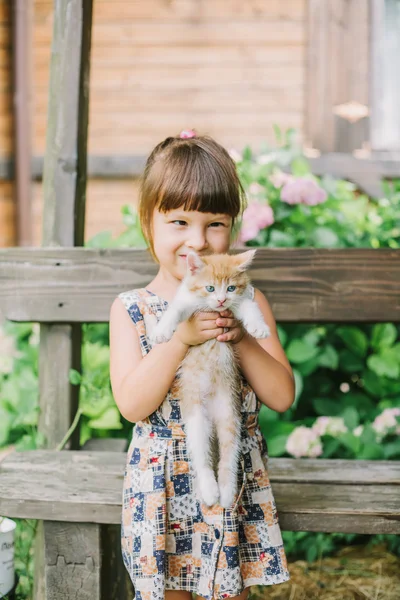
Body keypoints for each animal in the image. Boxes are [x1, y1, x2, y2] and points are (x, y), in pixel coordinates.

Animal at [152, 251, 270, 508]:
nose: (221, 300)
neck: (214, 310)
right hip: (196, 417)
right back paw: (209, 491)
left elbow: (249, 306)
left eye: (231, 288)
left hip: (231, 417)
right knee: (201, 454)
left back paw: (226, 494)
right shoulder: (188, 301)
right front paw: (162, 331)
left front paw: (259, 327)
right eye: (210, 288)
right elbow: (175, 310)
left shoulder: (238, 302)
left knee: (228, 454)